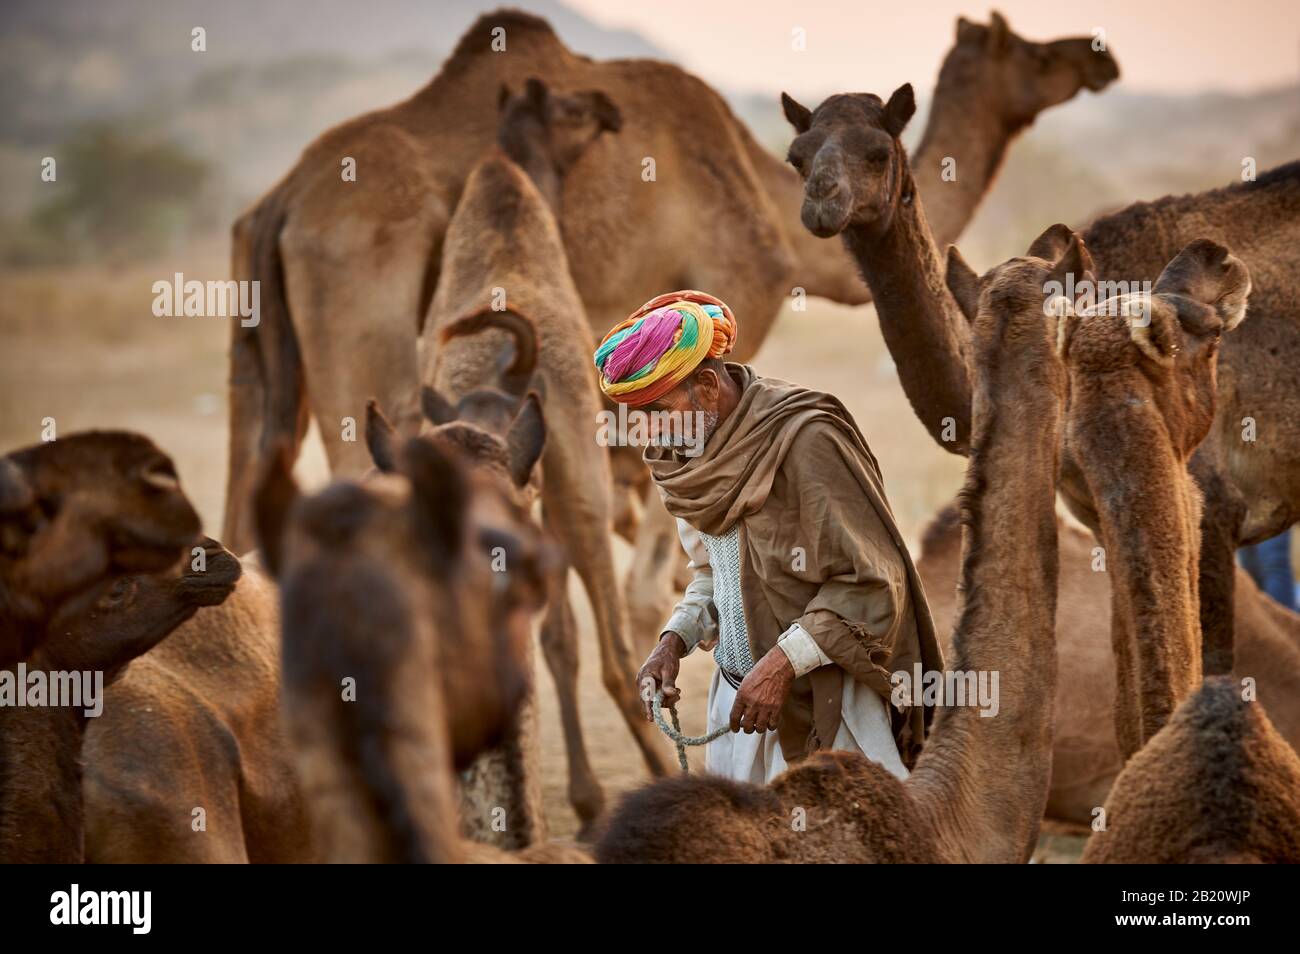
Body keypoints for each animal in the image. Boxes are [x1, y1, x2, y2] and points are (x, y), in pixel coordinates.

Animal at [221, 9, 1118, 554]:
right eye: (1034, 50)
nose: (1096, 55)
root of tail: (284, 201)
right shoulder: (739, 290)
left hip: (255, 333)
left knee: (249, 465)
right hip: (361, 307)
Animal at [596, 226, 1074, 864]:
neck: (944, 824)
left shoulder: (823, 454)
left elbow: (862, 583)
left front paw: (754, 683)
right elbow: (704, 572)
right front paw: (660, 665)